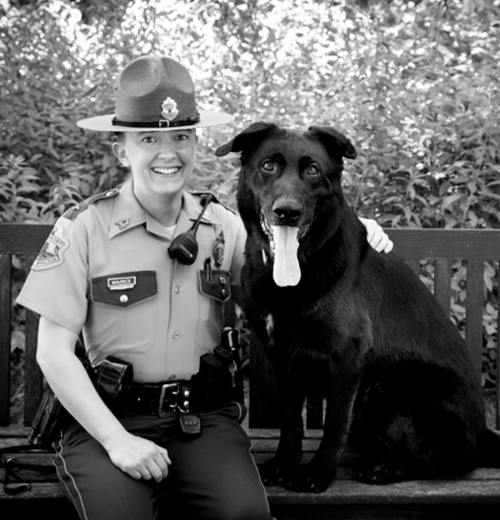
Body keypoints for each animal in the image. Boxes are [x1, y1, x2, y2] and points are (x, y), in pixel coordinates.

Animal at [217, 123, 500, 492]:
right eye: (268, 165)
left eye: (313, 170)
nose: (287, 212)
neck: (300, 268)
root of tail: (483, 433)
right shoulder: (283, 358)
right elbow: (291, 421)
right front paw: (284, 464)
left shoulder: (347, 358)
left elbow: (335, 424)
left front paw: (317, 474)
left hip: (395, 391)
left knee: (450, 461)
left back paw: (384, 469)